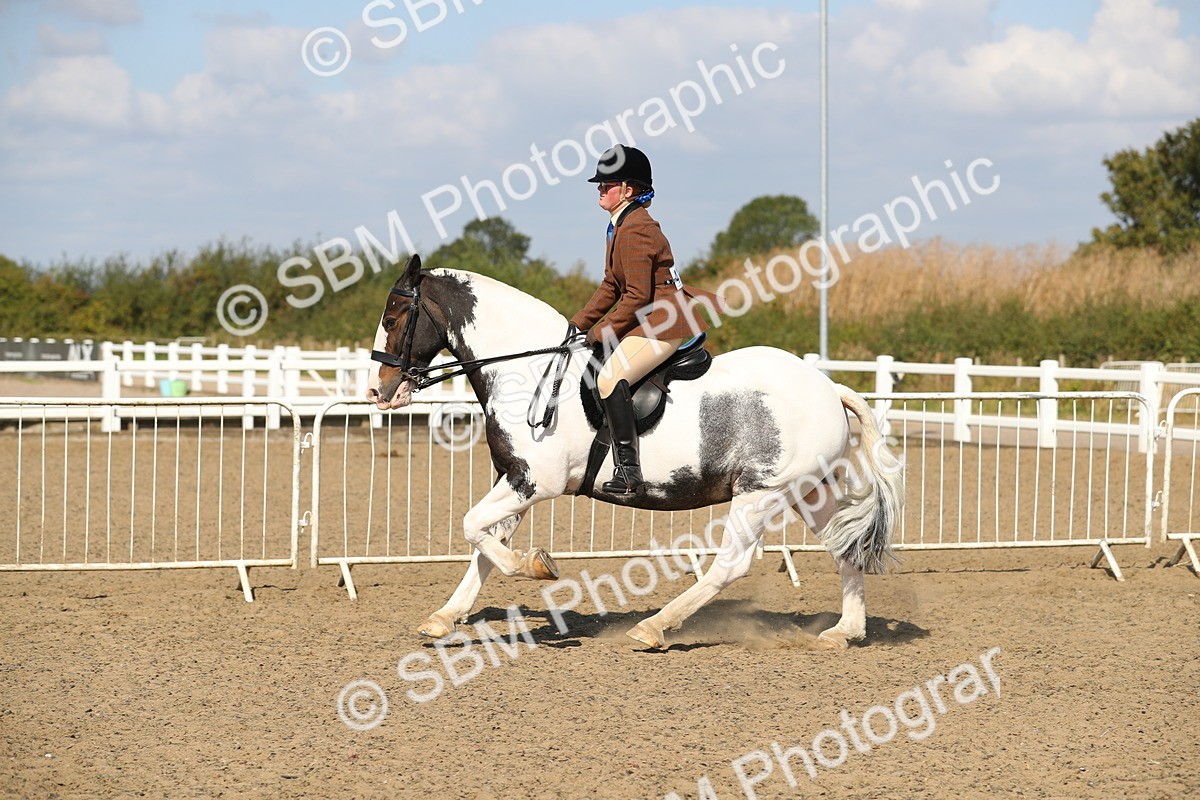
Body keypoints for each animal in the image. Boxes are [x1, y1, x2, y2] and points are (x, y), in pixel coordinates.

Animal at [366, 254, 903, 649]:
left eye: (392, 317)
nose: (379, 391)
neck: (526, 371)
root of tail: (829, 387)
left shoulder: (533, 481)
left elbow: (473, 528)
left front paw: (536, 565)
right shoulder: (513, 478)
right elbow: (482, 543)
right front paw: (445, 616)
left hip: (760, 493)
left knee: (730, 565)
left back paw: (654, 628)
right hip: (808, 491)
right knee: (844, 547)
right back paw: (845, 631)